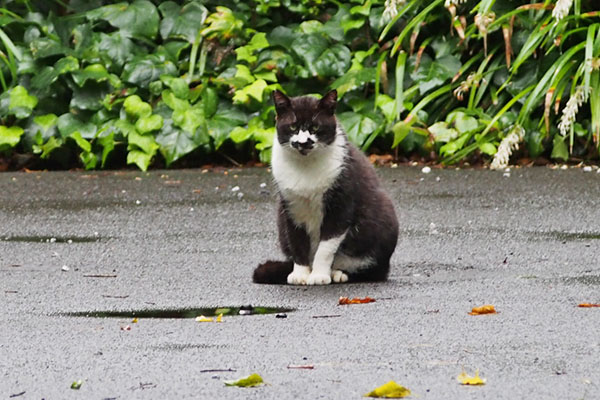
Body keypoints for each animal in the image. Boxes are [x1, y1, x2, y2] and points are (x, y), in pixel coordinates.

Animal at [253, 90, 398, 284]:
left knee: (373, 270)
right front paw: (300, 274)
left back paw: (337, 273)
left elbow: (326, 248)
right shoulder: (291, 208)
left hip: (382, 218)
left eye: (315, 128)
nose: (303, 142)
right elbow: (297, 242)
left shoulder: (340, 205)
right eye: (292, 127)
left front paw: (319, 275)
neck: (305, 167)